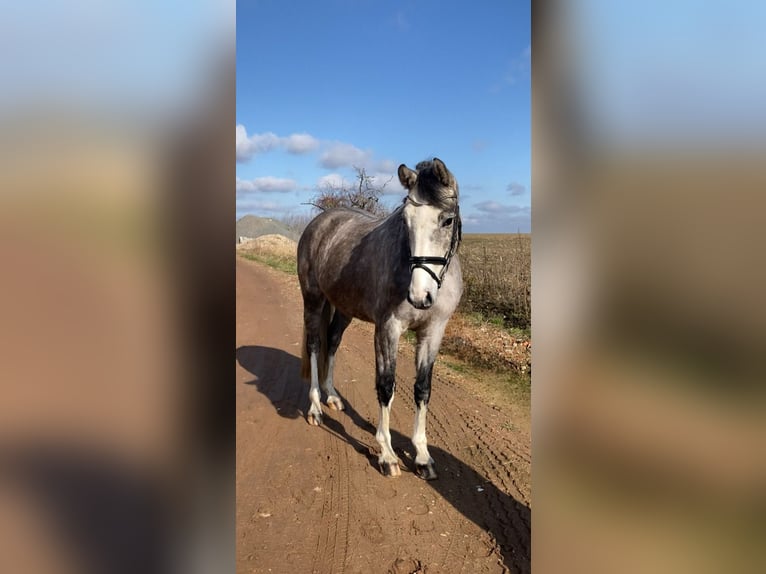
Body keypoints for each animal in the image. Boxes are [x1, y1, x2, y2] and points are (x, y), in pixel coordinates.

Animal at [298, 158, 464, 482]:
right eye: (406, 221)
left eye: (447, 220)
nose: (419, 296)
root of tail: (321, 222)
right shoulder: (388, 330)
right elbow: (386, 386)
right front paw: (387, 453)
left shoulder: (432, 333)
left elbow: (422, 389)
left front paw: (422, 456)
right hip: (313, 301)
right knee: (314, 346)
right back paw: (314, 408)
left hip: (343, 309)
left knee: (331, 343)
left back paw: (331, 396)